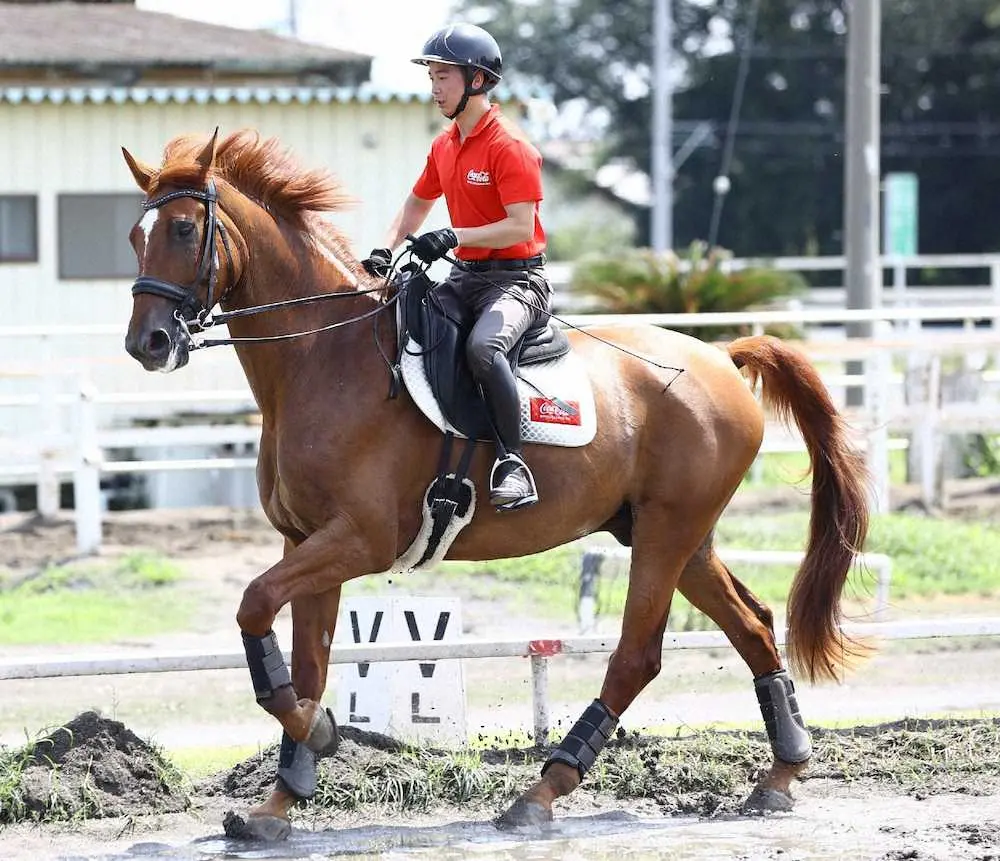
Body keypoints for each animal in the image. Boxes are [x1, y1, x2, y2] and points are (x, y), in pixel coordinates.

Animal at [121, 129, 870, 840]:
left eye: (183, 230)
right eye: (135, 235)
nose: (147, 345)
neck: (323, 358)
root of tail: (721, 354)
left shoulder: (360, 539)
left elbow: (253, 606)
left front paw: (323, 735)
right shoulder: (304, 541)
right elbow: (306, 664)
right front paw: (281, 800)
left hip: (666, 532)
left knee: (637, 656)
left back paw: (542, 793)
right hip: (678, 536)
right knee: (754, 626)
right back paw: (780, 775)